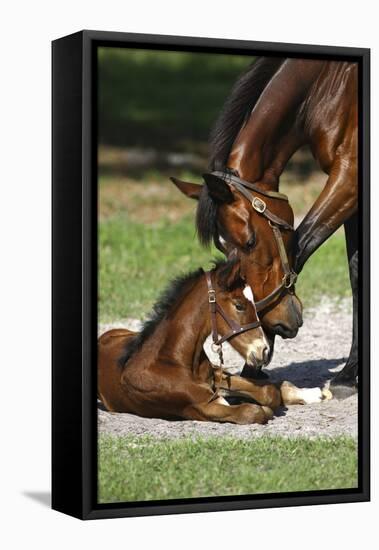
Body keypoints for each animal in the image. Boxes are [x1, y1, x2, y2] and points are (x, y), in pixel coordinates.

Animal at [98, 260, 332, 424]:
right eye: (239, 305)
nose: (263, 351)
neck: (173, 361)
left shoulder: (217, 375)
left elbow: (269, 392)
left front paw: (307, 393)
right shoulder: (198, 407)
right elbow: (253, 410)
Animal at [174, 58, 358, 398]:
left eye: (249, 242)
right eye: (222, 247)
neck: (326, 84)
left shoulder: (349, 176)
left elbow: (299, 246)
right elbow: (355, 274)